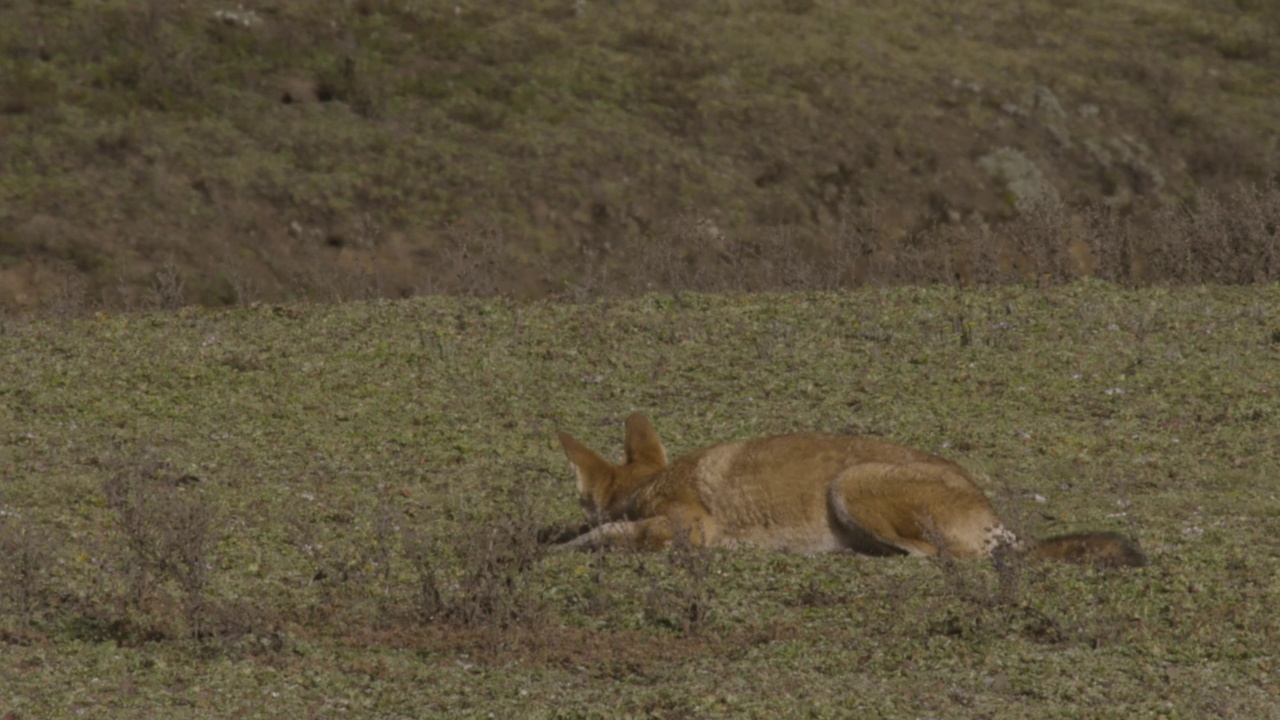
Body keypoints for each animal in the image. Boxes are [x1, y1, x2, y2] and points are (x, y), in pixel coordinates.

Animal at [555, 415, 1146, 566]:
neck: (651, 481)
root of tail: (997, 517)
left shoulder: (690, 528)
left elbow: (611, 534)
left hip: (850, 483)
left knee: (936, 556)